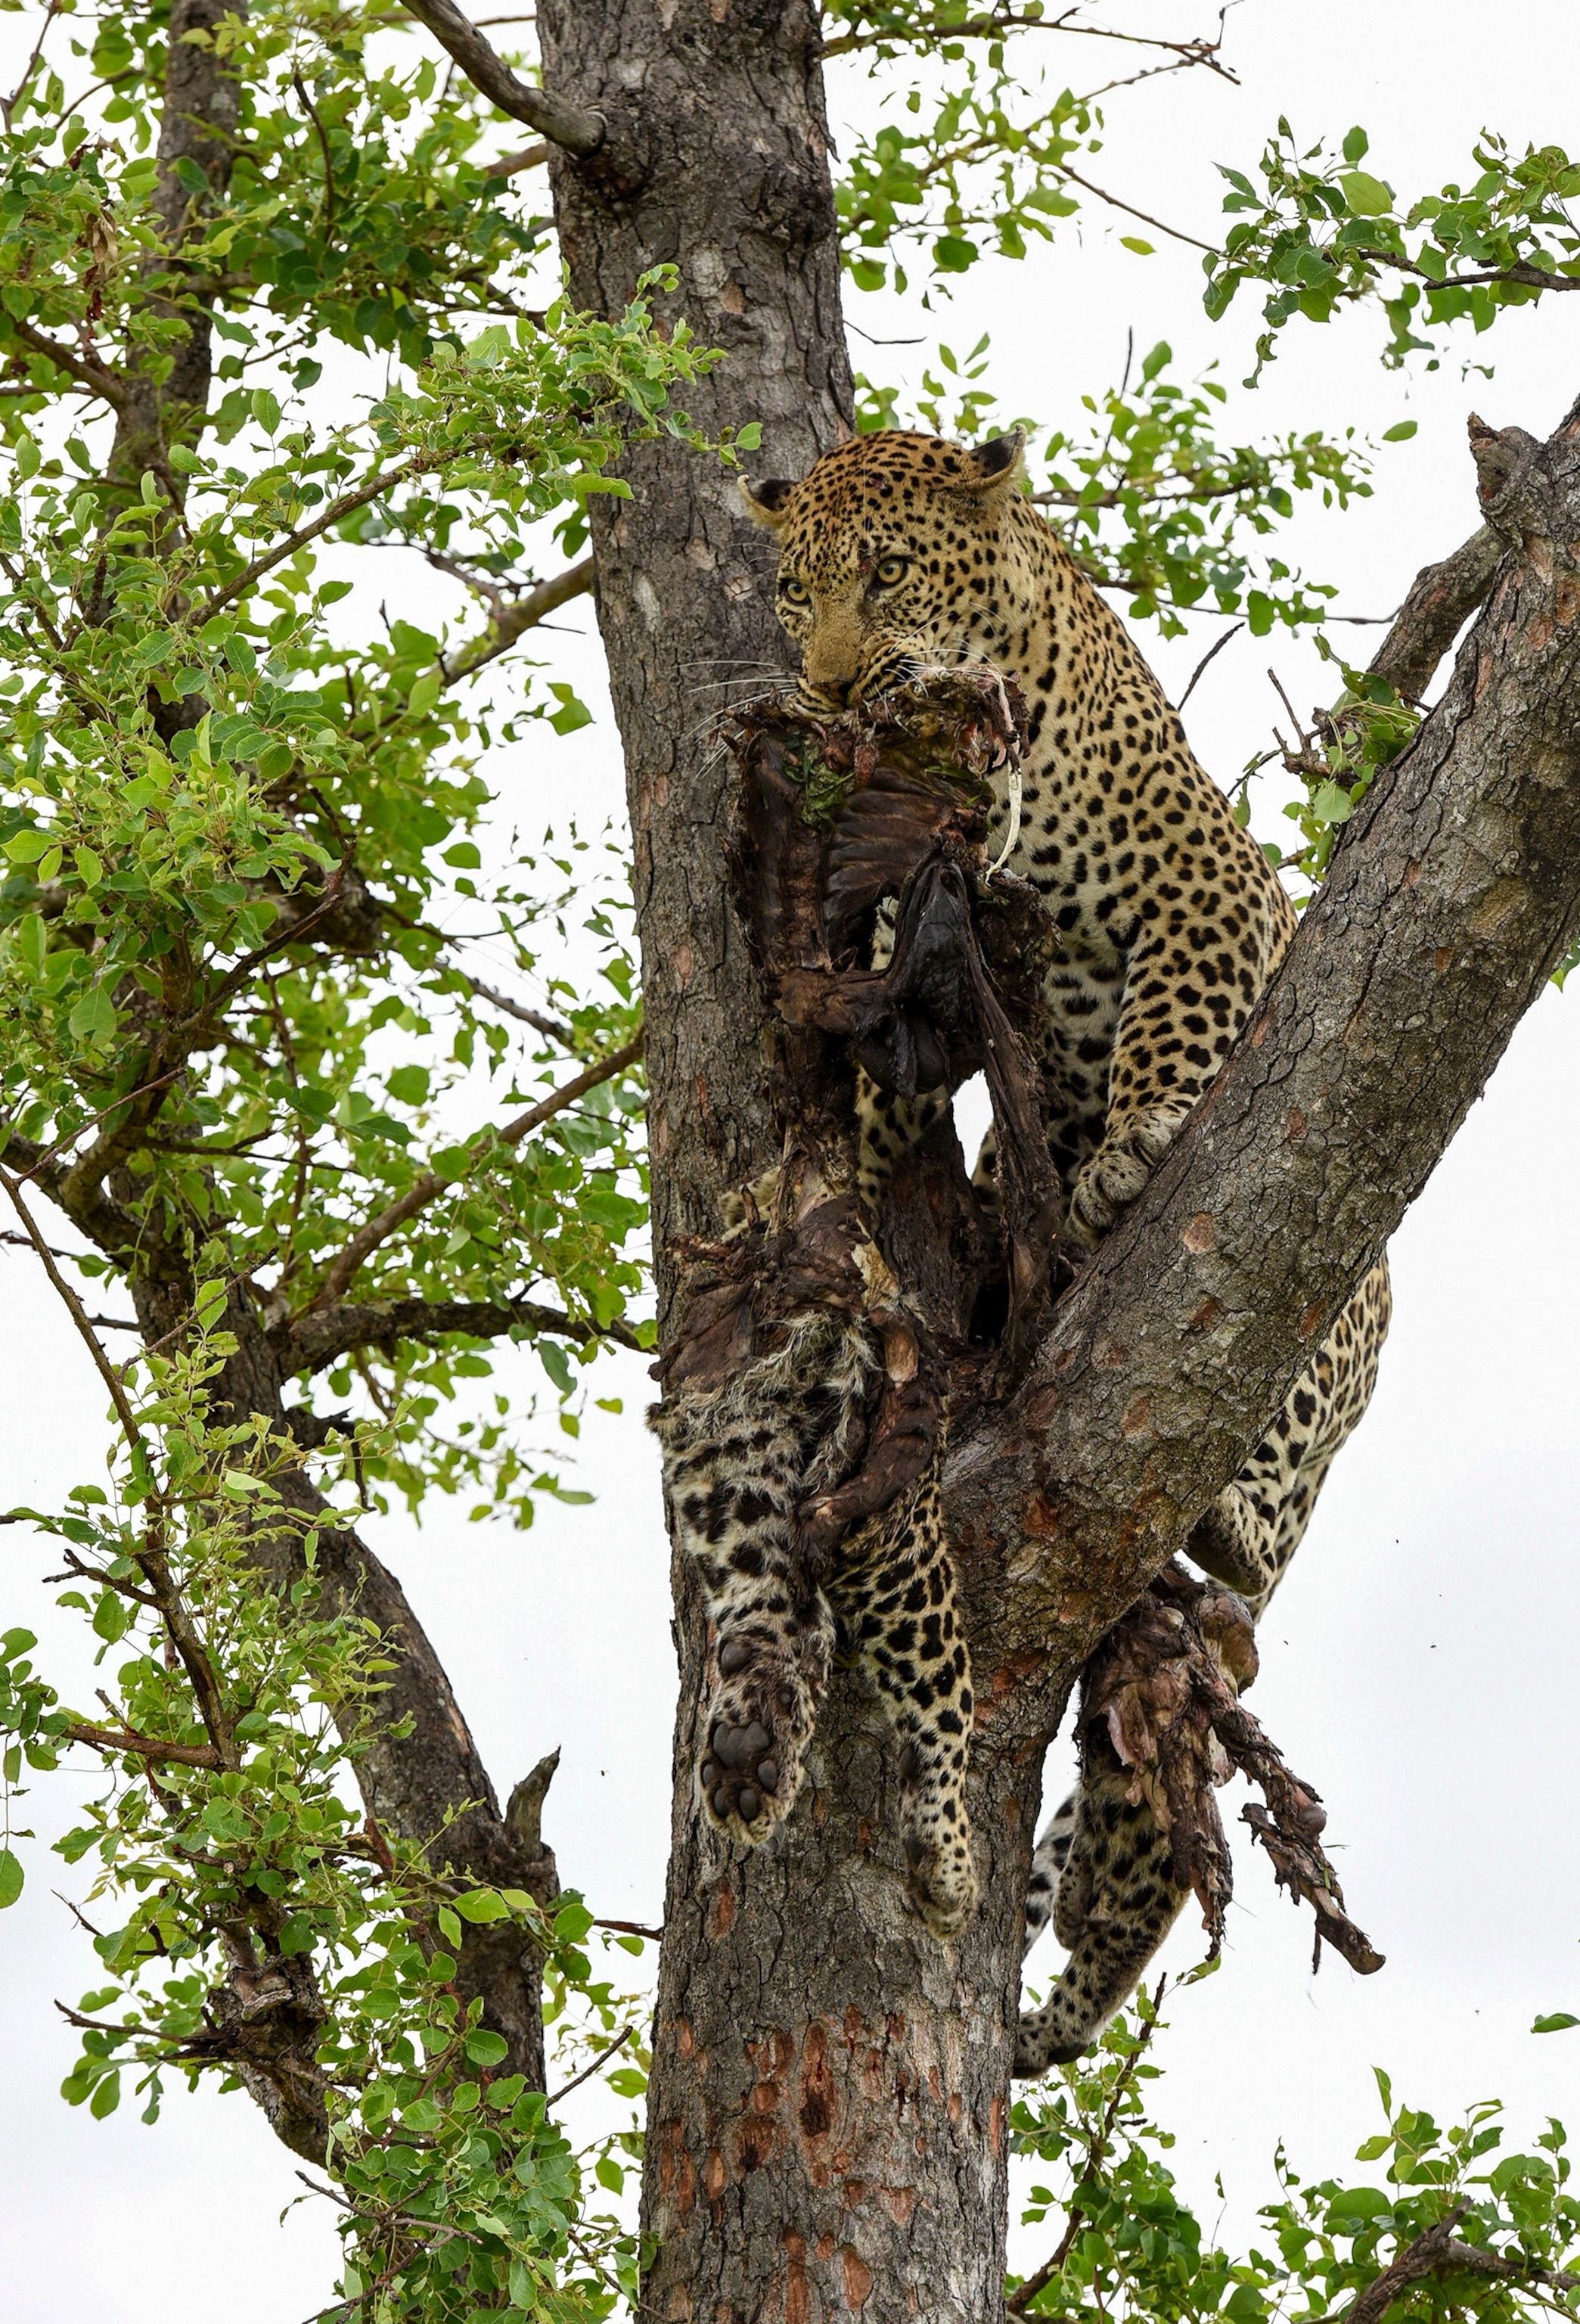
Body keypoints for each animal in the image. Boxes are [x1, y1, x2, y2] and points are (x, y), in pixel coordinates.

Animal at [726, 425, 1392, 2051]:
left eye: (885, 574)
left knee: (1253, 1530)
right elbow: (899, 1032)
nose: (827, 691)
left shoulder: (1197, 887)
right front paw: (888, 1151)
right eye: (792, 591)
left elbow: (1180, 1016)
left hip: (1330, 1336)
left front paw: (1137, 1138)